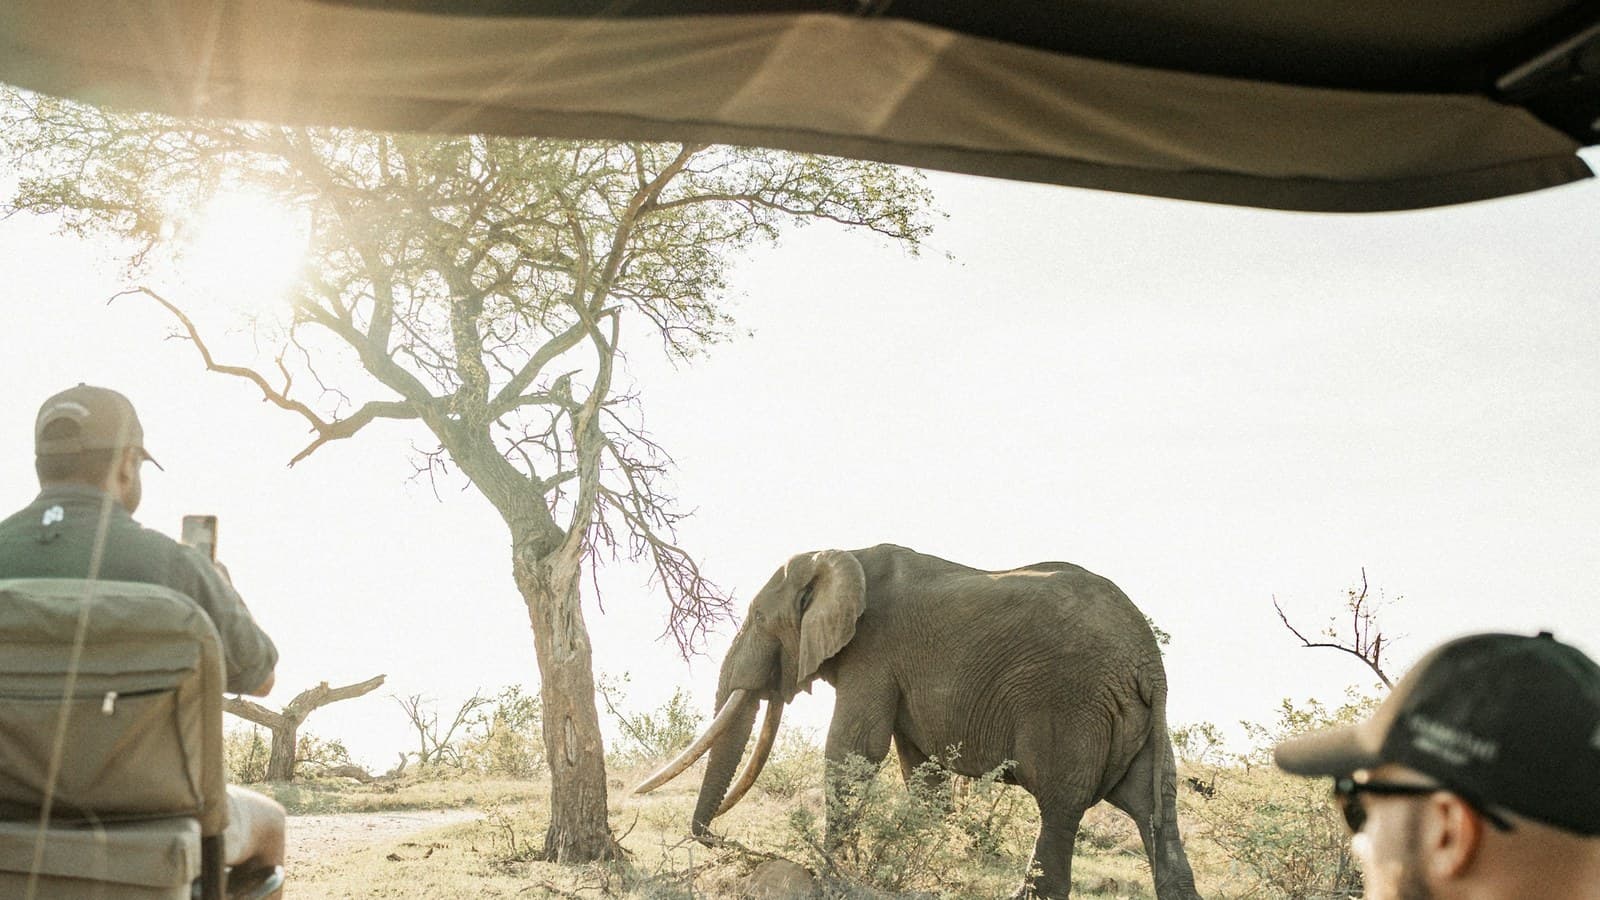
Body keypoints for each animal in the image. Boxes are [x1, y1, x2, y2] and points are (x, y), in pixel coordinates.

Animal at [635, 544, 1202, 899]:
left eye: (756, 619)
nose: (720, 841)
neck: (841, 553)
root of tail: (1148, 662)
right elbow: (919, 769)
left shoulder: (873, 650)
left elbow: (853, 749)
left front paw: (830, 873)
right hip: (1139, 719)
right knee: (1157, 809)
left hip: (1072, 703)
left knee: (1060, 806)